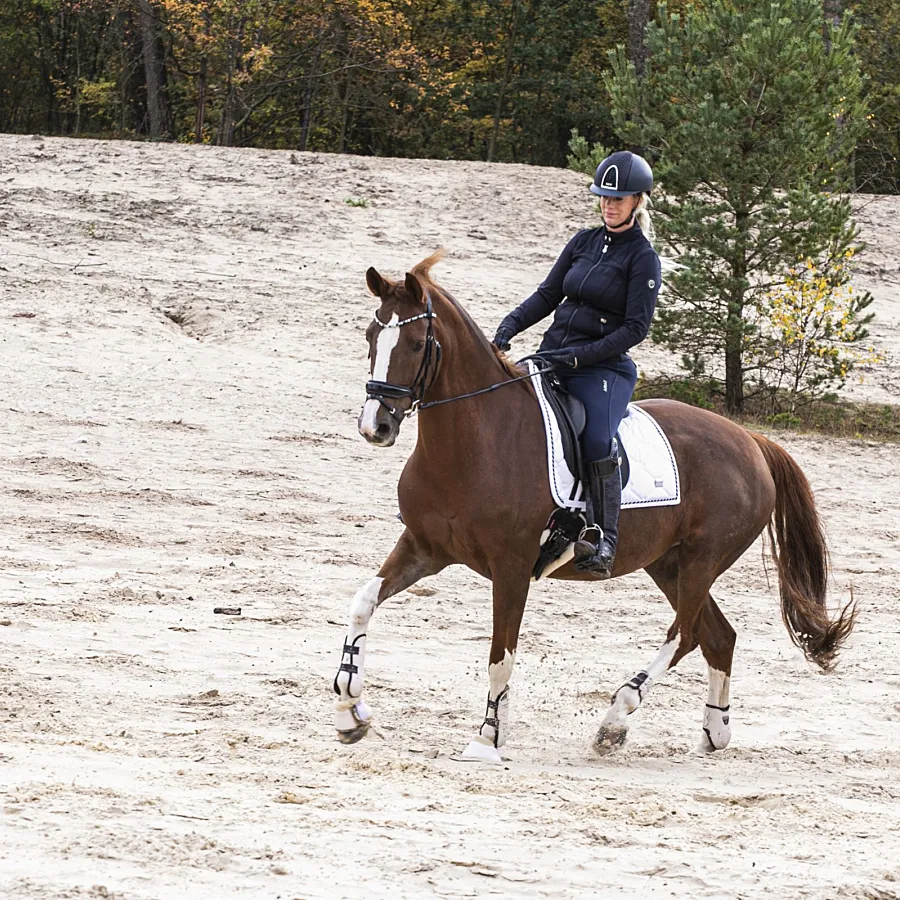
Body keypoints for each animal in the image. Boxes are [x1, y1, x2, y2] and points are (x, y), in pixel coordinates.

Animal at [332, 251, 856, 760]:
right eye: (371, 336)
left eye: (417, 343)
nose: (376, 425)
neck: (475, 441)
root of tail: (751, 441)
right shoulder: (425, 548)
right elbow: (362, 604)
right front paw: (349, 710)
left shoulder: (511, 567)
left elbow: (501, 657)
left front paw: (486, 738)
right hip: (669, 564)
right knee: (718, 636)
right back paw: (714, 732)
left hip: (702, 559)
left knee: (685, 635)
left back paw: (616, 720)